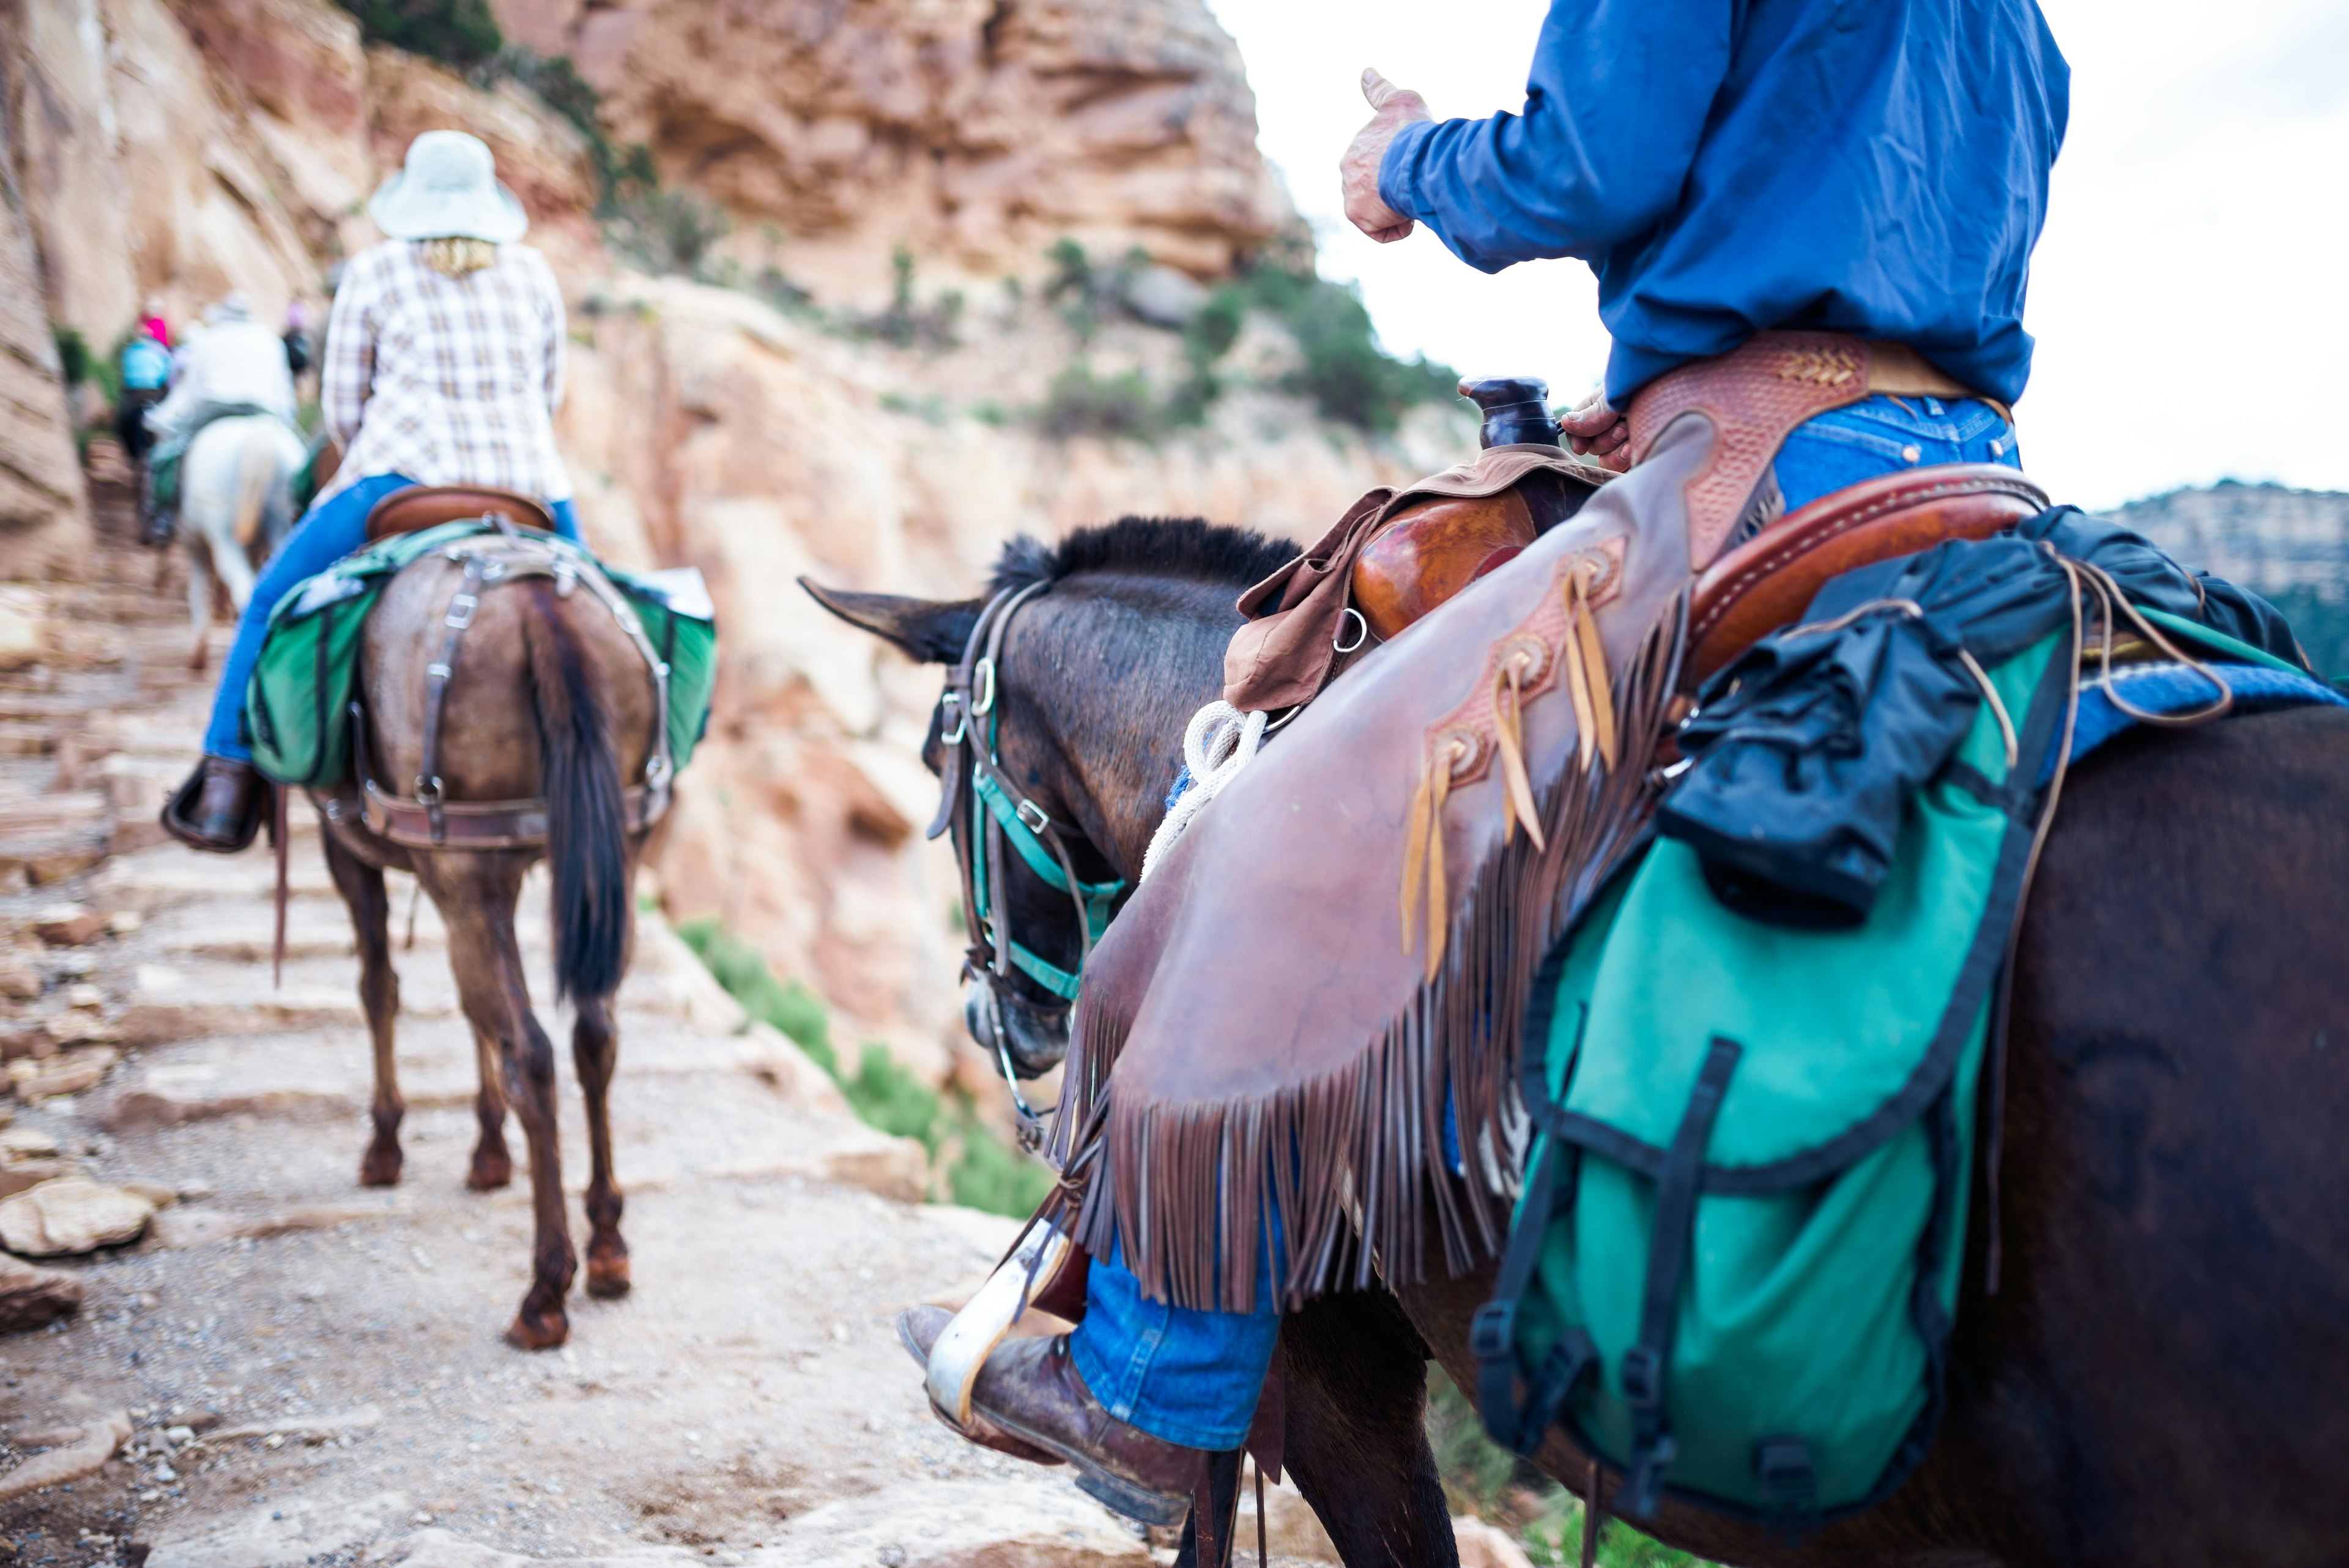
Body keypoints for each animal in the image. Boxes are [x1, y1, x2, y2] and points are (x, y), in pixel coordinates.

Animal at [178, 416, 308, 667]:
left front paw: (198, 656)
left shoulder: (195, 545)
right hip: (283, 524)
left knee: (243, 589)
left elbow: (198, 592)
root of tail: (260, 432)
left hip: (224, 532)